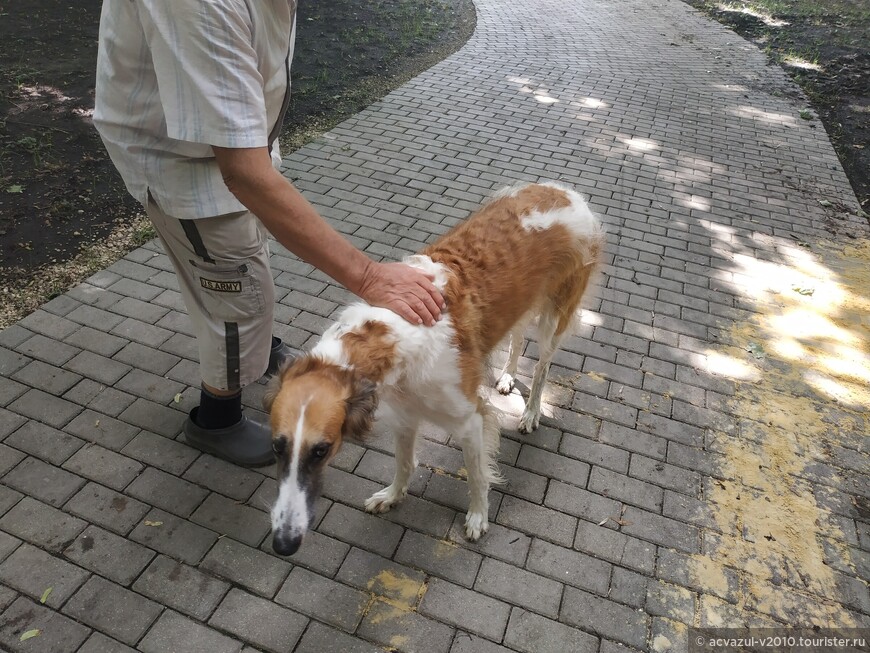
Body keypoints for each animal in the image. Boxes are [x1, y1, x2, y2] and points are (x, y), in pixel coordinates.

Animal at [266, 182, 608, 556]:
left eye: (322, 450)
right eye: (276, 447)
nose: (283, 543)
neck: (393, 336)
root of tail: (563, 190)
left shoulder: (470, 419)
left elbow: (477, 476)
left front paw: (478, 518)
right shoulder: (404, 412)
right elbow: (404, 462)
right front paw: (392, 496)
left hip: (554, 316)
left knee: (543, 365)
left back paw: (531, 413)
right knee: (517, 339)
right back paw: (506, 377)